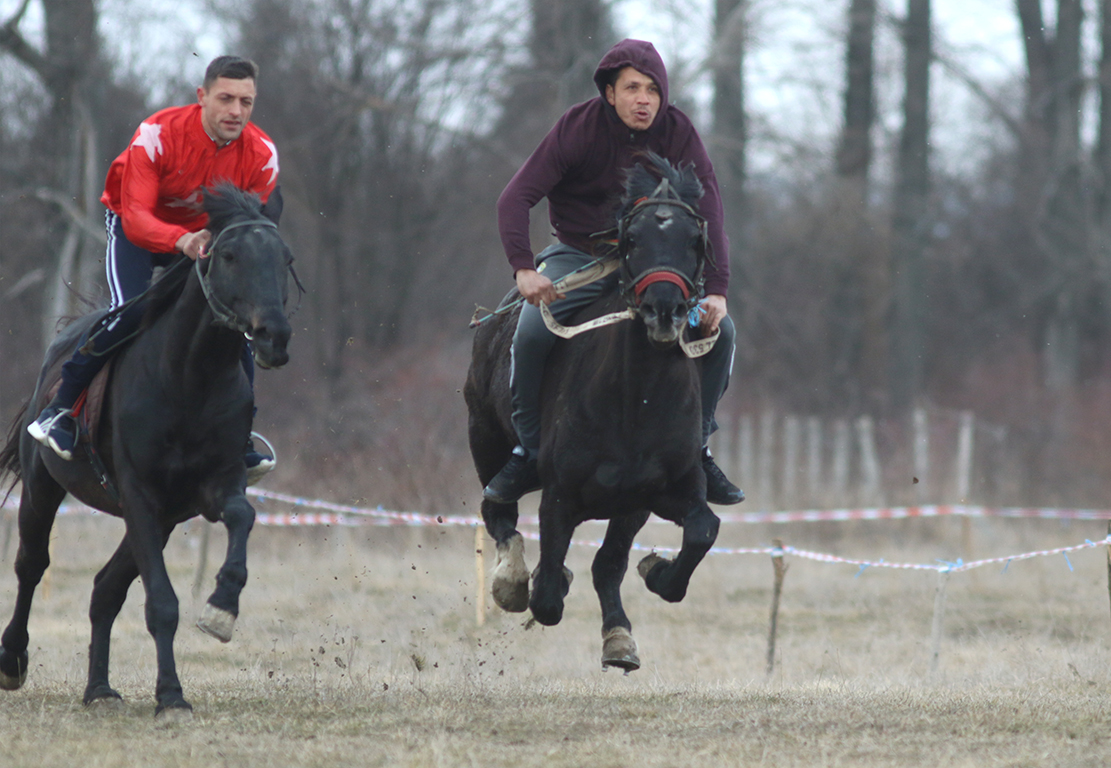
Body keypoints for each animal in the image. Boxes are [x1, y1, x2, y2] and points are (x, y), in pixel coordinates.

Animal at [0, 183, 293, 720]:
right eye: (229, 255)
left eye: (286, 258)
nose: (273, 336)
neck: (189, 376)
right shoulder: (138, 492)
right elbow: (161, 602)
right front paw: (172, 696)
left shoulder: (209, 487)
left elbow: (242, 516)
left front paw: (222, 605)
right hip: (43, 485)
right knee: (31, 565)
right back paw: (12, 658)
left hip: (165, 518)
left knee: (104, 589)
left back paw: (98, 687)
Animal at [466, 154, 719, 671]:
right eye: (632, 238)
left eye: (694, 240)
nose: (665, 310)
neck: (636, 402)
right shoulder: (560, 497)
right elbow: (546, 595)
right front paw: (541, 582)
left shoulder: (650, 497)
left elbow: (695, 533)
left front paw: (639, 601)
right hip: (484, 438)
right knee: (497, 510)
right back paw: (509, 580)